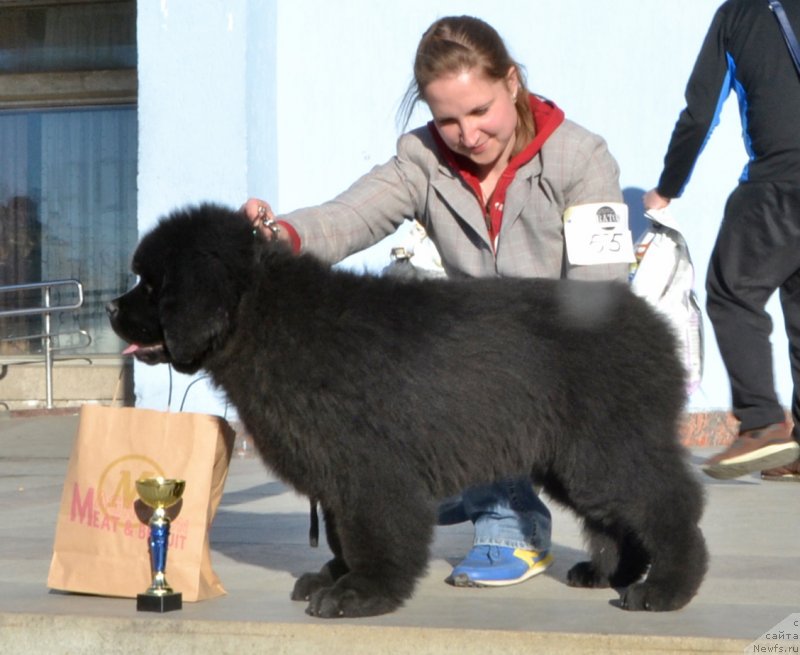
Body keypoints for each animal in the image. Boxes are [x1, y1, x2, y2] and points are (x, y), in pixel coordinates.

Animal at [108, 205, 708, 620]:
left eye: (153, 285)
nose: (111, 307)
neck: (268, 318)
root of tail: (651, 322)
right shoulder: (334, 469)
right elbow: (340, 533)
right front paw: (333, 577)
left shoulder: (370, 468)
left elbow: (372, 533)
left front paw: (360, 593)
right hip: (574, 461)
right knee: (621, 517)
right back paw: (612, 573)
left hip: (604, 451)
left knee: (668, 506)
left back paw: (665, 589)